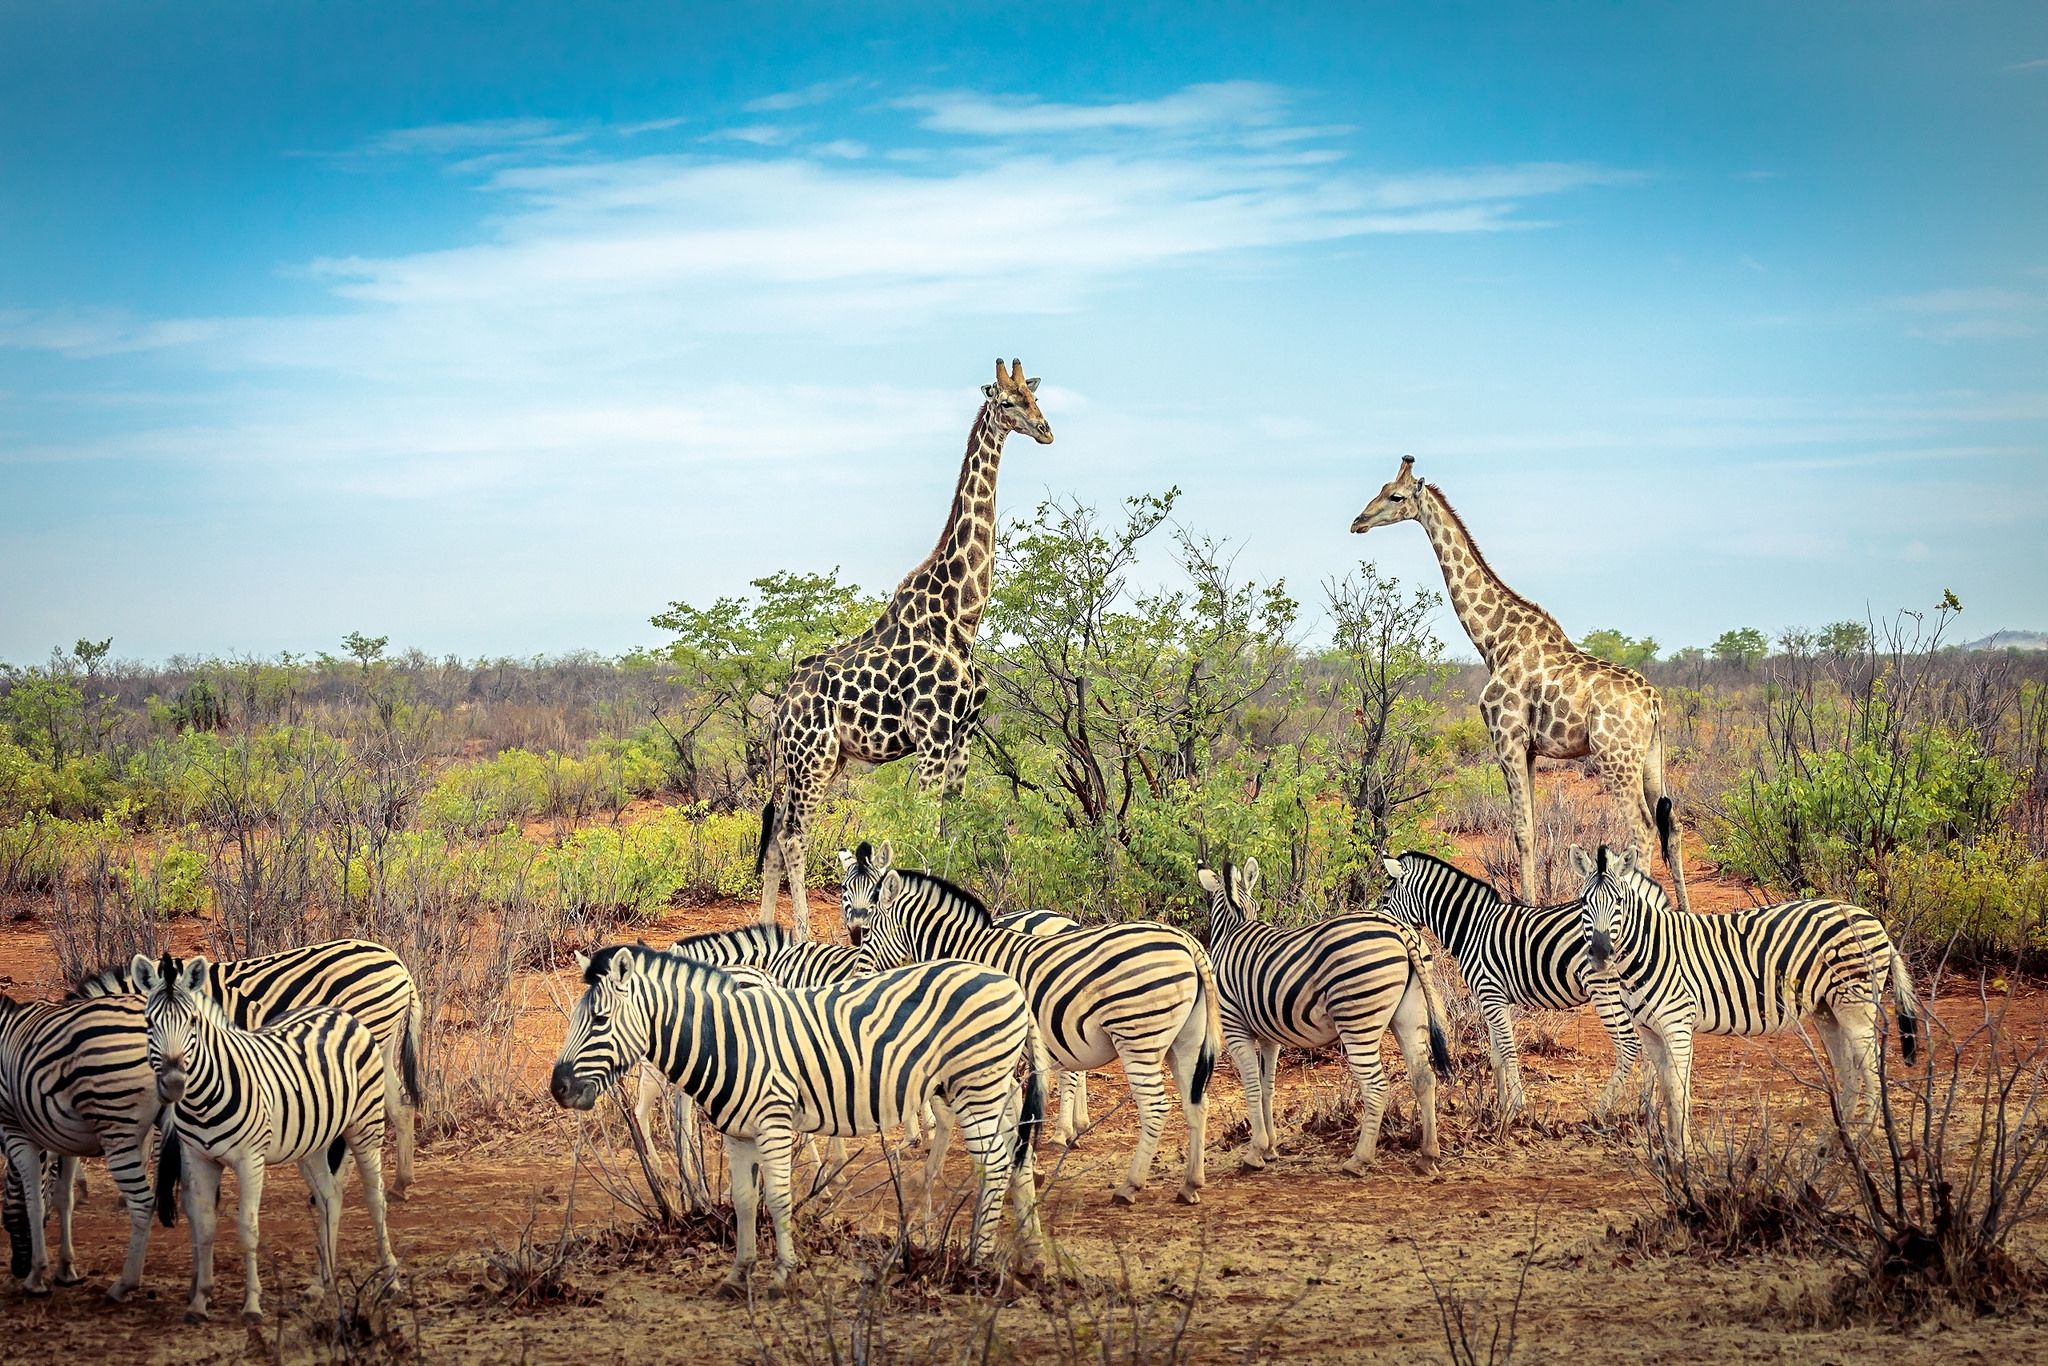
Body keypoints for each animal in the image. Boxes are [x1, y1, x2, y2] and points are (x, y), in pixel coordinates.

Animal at [756, 359, 1053, 939]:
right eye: (1007, 402)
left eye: (1034, 396)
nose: (1046, 430)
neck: (961, 614)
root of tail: (779, 709)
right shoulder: (933, 738)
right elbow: (919, 833)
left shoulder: (961, 739)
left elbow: (949, 832)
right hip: (812, 761)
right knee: (793, 836)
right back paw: (803, 935)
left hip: (821, 764)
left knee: (777, 835)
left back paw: (765, 932)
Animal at [1349, 456, 1691, 913]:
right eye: (1383, 489)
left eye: (1396, 496)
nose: (1358, 522)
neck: (1494, 641)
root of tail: (1653, 700)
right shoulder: (1529, 748)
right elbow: (1531, 824)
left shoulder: (1506, 737)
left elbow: (1521, 830)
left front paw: (1526, 908)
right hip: (1651, 756)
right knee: (1671, 824)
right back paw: (1684, 911)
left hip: (1615, 757)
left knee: (1641, 828)